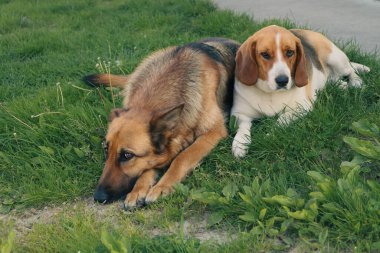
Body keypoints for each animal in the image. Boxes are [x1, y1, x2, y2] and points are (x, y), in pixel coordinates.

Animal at [84, 38, 239, 210]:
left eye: (127, 155)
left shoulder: (214, 131)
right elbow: (148, 167)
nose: (98, 197)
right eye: (106, 149)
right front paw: (138, 189)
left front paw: (161, 186)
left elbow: (183, 157)